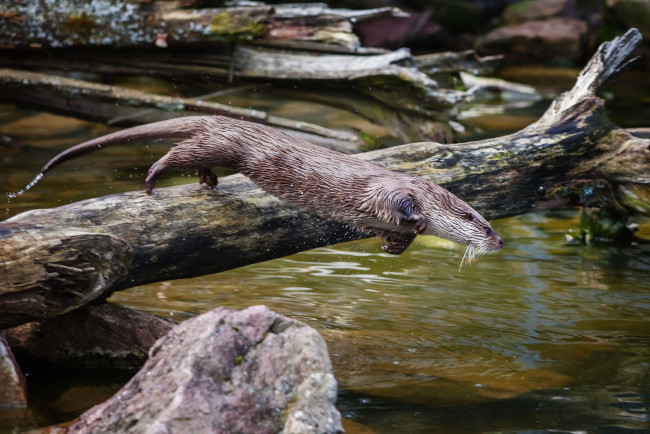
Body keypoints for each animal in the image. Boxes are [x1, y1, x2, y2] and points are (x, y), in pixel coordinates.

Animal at [27, 115, 502, 262]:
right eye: (482, 224)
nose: (499, 241)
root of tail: (221, 118)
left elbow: (390, 234)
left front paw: (395, 245)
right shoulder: (391, 187)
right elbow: (395, 202)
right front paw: (415, 219)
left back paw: (208, 181)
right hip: (224, 143)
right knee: (179, 152)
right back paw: (153, 179)